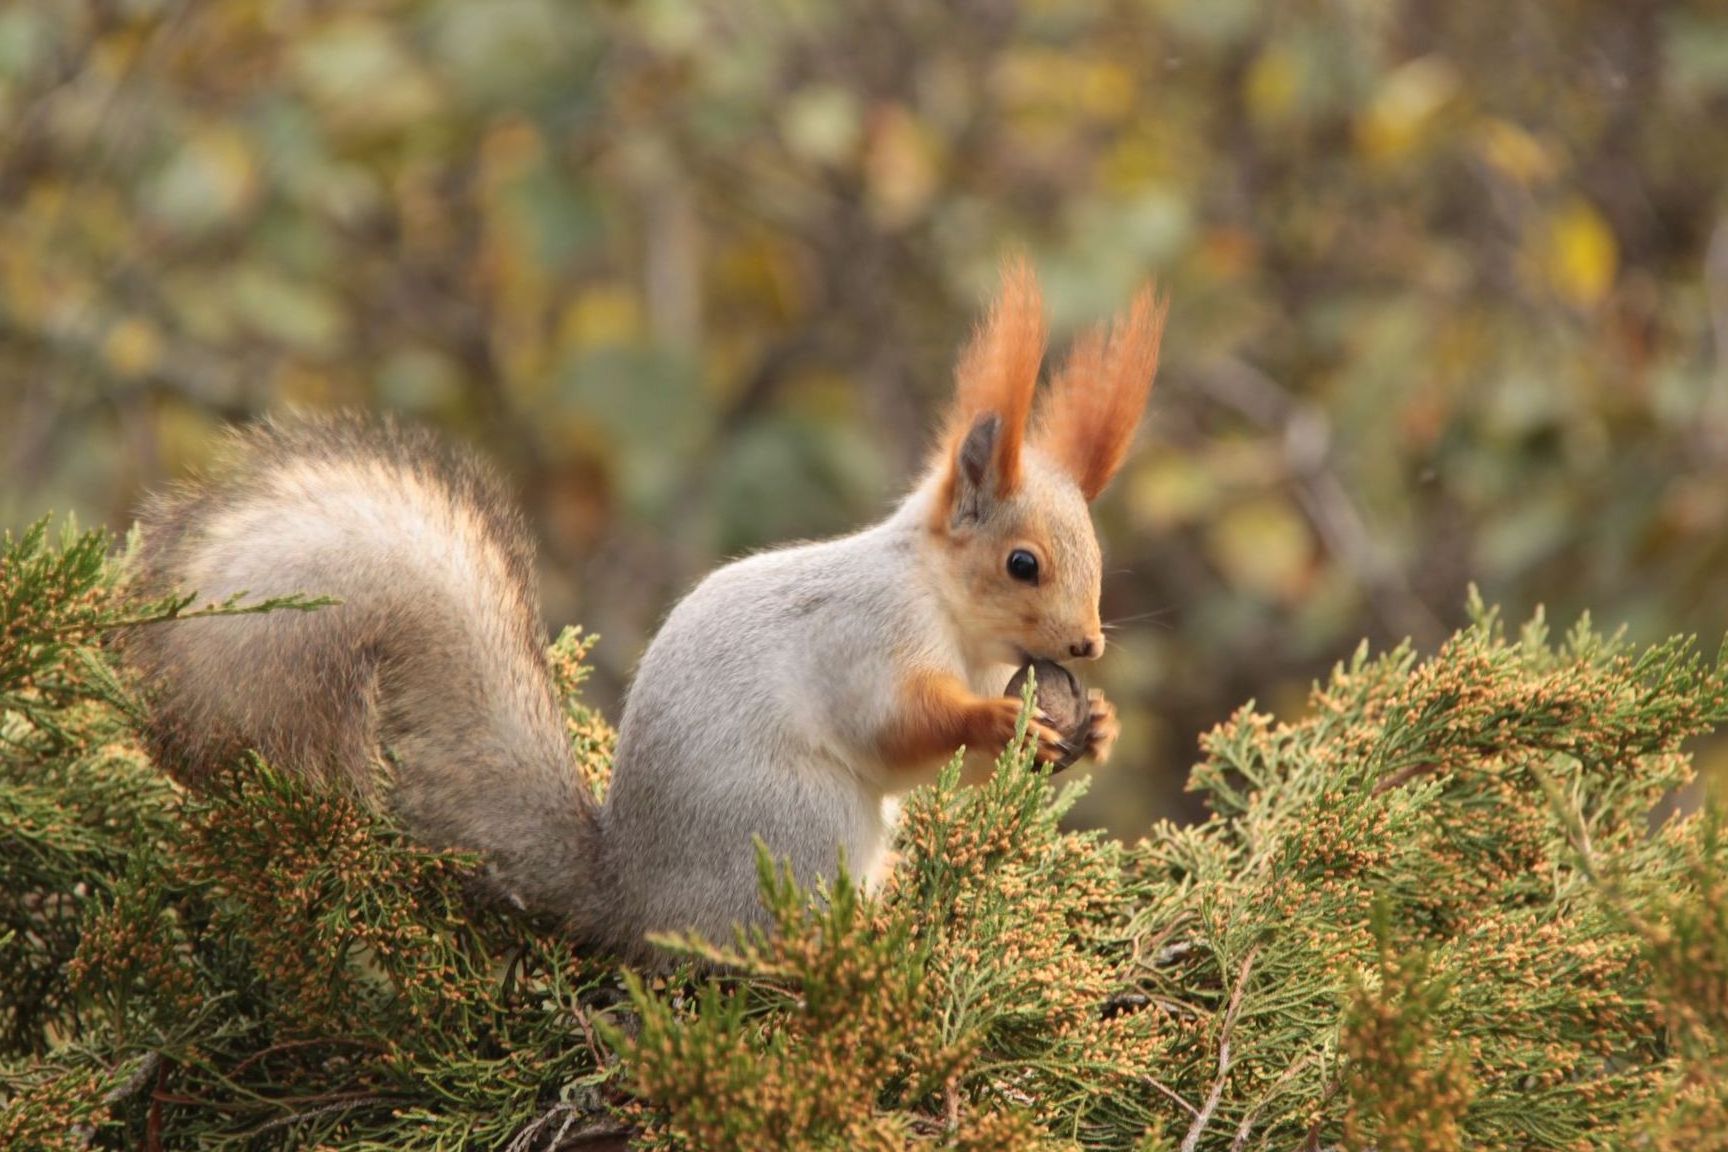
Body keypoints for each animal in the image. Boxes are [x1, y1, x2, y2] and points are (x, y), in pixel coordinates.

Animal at [121, 260, 1168, 967]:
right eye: (1023, 564)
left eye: (1094, 558)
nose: (1085, 643)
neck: (948, 610)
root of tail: (634, 899)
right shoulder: (865, 635)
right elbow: (893, 726)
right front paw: (993, 718)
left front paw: (1095, 727)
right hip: (797, 831)